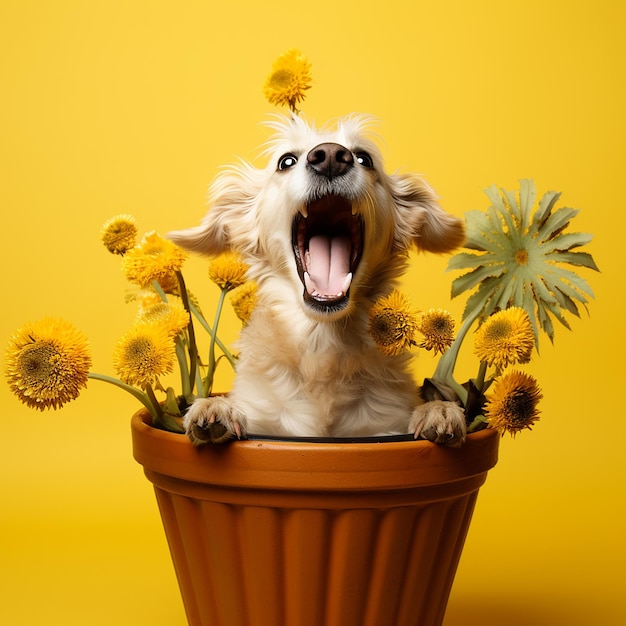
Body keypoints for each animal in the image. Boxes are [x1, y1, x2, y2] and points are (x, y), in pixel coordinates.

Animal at [168, 112, 466, 444]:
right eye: (286, 161)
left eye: (364, 158)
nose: (331, 157)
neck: (322, 343)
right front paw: (216, 408)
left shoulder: (382, 426)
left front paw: (438, 410)